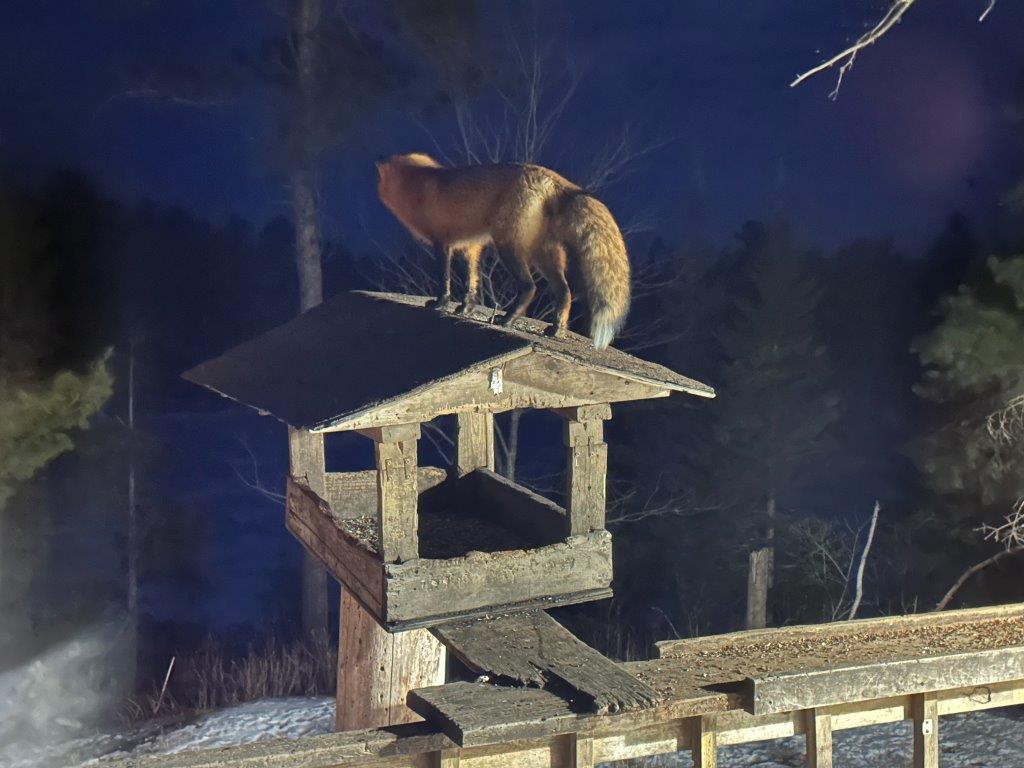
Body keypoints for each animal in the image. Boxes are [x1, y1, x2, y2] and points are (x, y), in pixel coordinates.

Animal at [375, 152, 631, 349]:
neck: (419, 186)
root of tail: (553, 178)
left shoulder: (443, 242)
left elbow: (444, 279)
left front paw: (440, 304)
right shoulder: (471, 246)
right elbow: (471, 282)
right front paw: (465, 308)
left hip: (508, 245)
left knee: (530, 287)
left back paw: (507, 320)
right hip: (544, 255)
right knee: (565, 292)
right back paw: (555, 329)